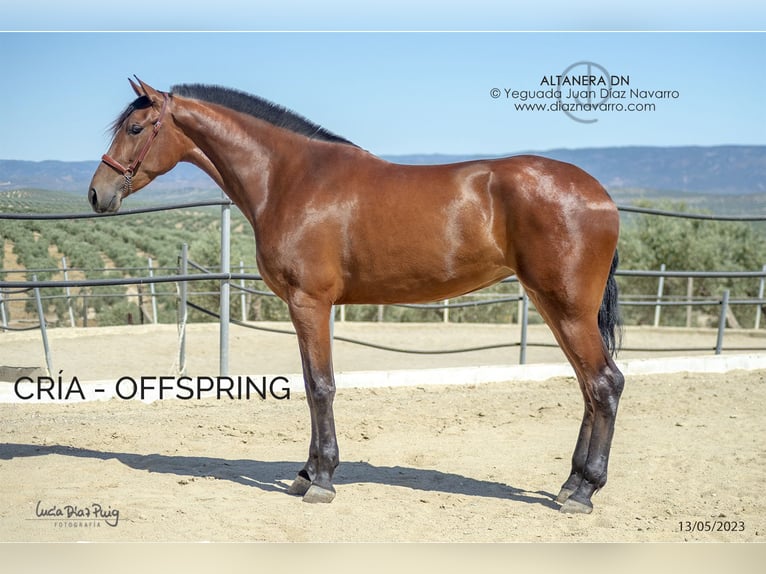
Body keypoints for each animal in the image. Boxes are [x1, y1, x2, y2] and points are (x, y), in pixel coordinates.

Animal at [88, 78, 624, 514]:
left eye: (135, 128)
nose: (97, 194)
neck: (289, 178)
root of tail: (600, 195)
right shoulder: (301, 307)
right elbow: (309, 384)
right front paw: (304, 474)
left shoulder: (310, 303)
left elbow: (321, 387)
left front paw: (322, 480)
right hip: (553, 305)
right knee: (589, 386)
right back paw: (571, 483)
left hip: (568, 308)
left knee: (605, 384)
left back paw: (583, 492)